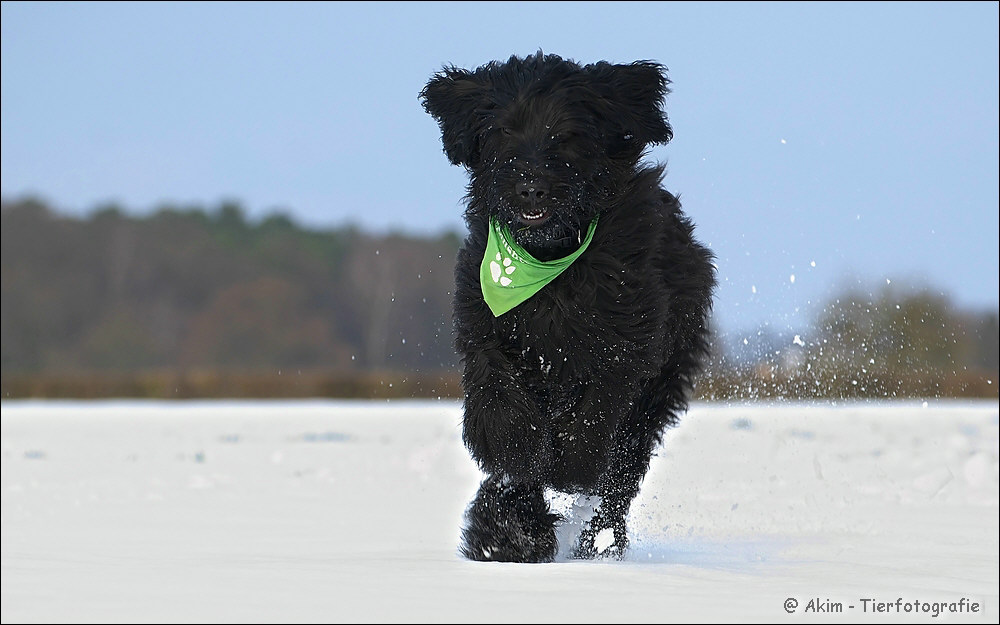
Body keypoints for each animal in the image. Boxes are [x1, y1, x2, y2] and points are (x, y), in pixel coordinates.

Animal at [418, 52, 716, 560]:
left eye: (568, 133)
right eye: (503, 130)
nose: (531, 188)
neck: (548, 257)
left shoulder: (625, 338)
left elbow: (595, 409)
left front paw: (569, 467)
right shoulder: (484, 320)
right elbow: (497, 395)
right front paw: (514, 465)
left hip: (659, 388)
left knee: (623, 471)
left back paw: (595, 539)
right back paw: (510, 531)